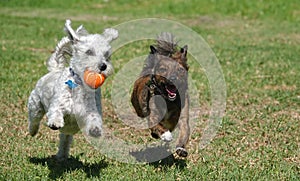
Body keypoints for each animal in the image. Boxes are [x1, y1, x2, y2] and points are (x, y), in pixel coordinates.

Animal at [27, 19, 118, 160]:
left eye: (107, 55)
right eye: (89, 52)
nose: (103, 66)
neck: (80, 86)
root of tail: (55, 69)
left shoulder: (91, 110)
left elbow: (94, 118)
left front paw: (95, 130)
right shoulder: (59, 103)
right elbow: (56, 111)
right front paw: (55, 122)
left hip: (67, 132)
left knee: (65, 140)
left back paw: (62, 156)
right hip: (35, 104)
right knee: (34, 119)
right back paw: (33, 131)